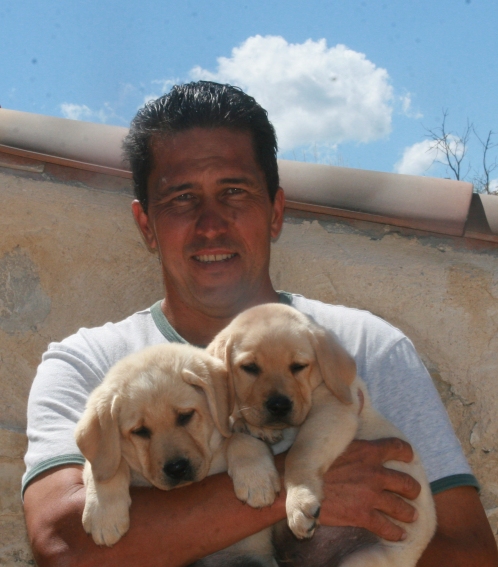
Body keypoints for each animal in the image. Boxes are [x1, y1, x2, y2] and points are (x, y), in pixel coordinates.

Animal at [74, 342, 277, 566]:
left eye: (185, 416)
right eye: (140, 431)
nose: (177, 468)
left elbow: (238, 437)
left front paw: (256, 480)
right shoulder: (106, 459)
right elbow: (105, 467)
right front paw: (104, 514)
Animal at [208, 303, 437, 567]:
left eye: (298, 366)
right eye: (250, 368)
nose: (278, 406)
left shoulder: (333, 409)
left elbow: (299, 453)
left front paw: (299, 501)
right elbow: (237, 435)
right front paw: (255, 478)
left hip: (363, 559)